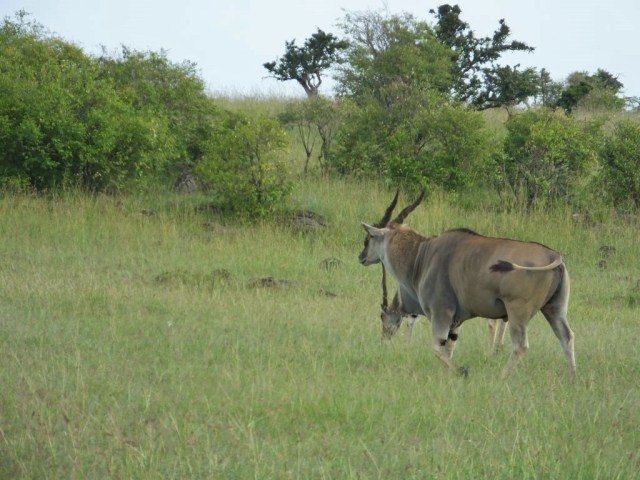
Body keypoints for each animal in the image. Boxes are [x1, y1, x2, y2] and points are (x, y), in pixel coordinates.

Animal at [359, 191, 576, 379]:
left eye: (369, 238)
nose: (361, 257)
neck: (422, 256)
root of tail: (554, 256)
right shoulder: (456, 322)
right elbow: (448, 348)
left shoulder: (441, 313)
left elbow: (437, 348)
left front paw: (463, 371)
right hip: (554, 310)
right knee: (567, 337)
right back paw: (573, 379)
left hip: (518, 313)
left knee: (520, 345)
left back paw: (502, 377)